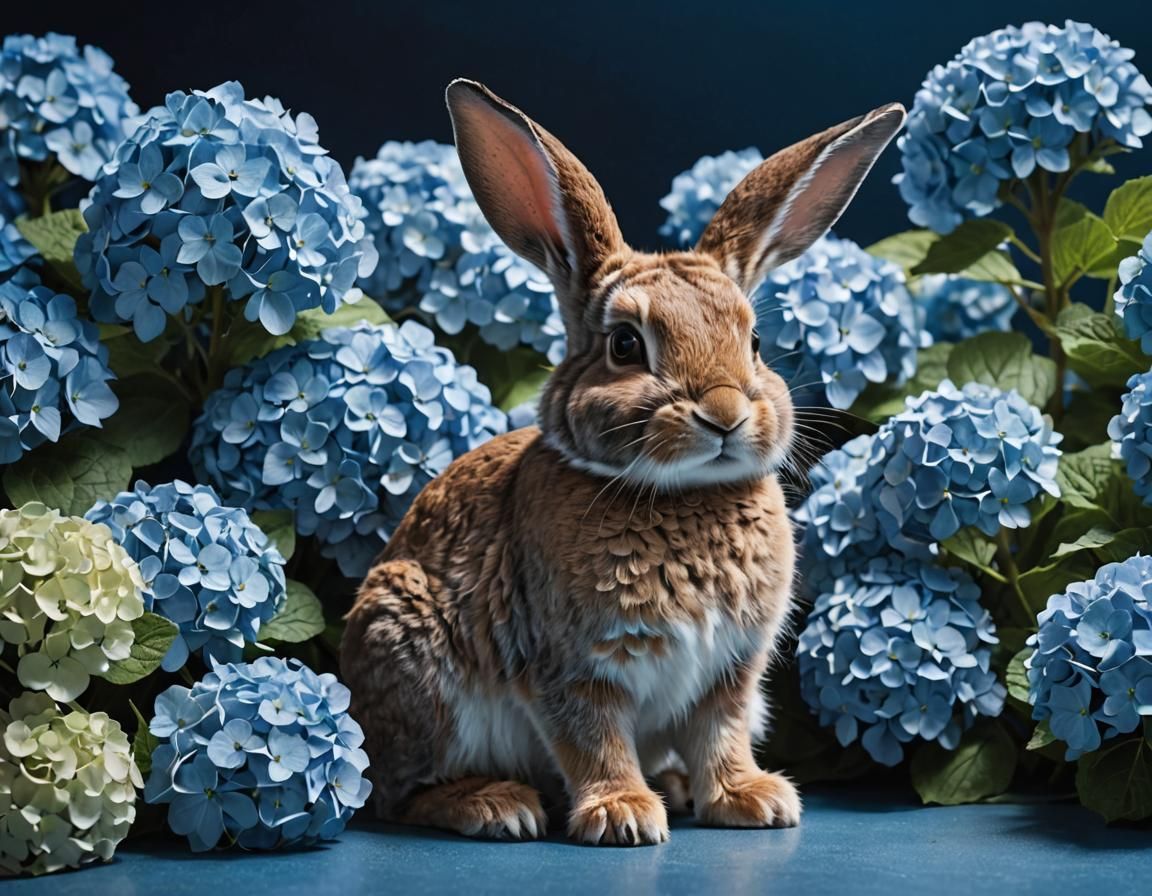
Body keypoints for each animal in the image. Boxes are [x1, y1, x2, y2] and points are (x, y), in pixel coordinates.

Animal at [340, 79, 905, 846]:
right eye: (626, 345)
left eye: (755, 342)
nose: (725, 412)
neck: (683, 494)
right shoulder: (572, 665)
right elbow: (594, 738)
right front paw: (624, 816)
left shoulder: (730, 670)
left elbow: (721, 735)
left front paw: (750, 800)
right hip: (415, 664)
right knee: (398, 796)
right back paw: (496, 806)